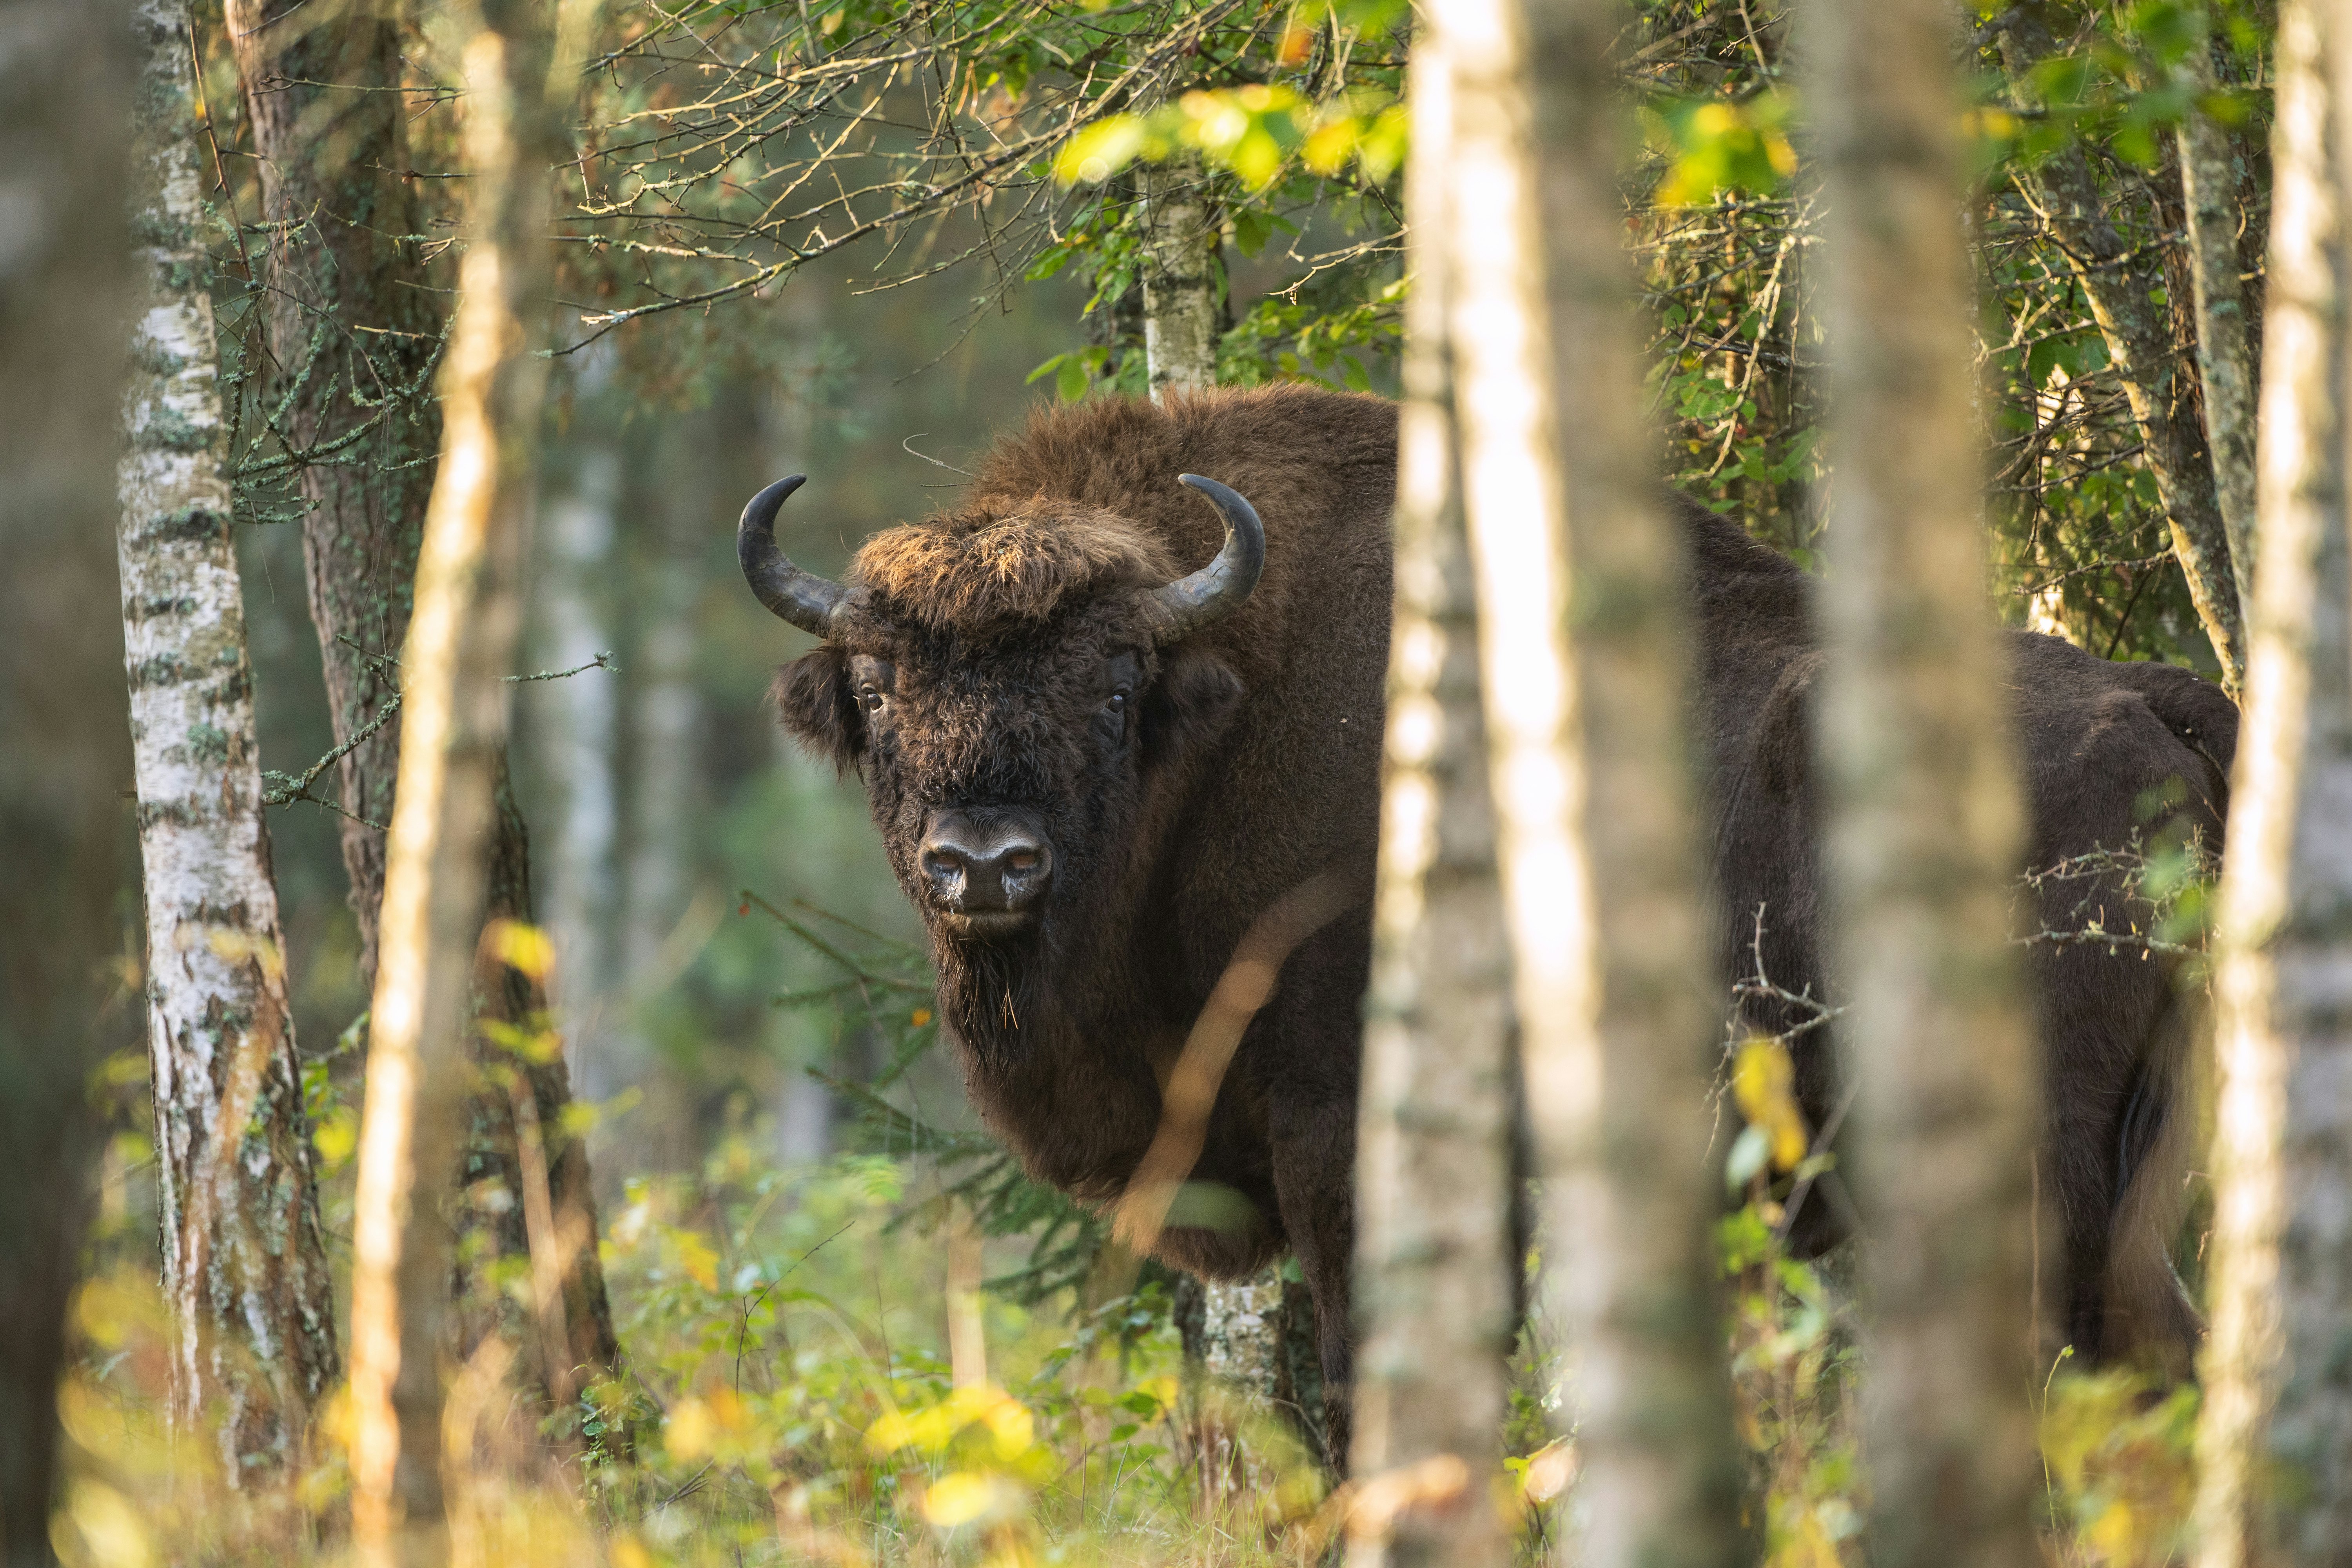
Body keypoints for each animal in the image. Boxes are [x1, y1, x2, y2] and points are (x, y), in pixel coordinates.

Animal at [741, 382, 2229, 1455]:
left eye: (1112, 681)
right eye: (874, 686)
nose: (985, 865)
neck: (1219, 714)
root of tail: (2161, 704)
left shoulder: (1342, 1127)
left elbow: (1368, 1377)